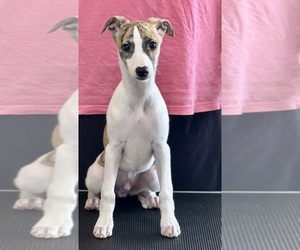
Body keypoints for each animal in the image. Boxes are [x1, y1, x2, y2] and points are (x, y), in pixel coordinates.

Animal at [84, 15, 180, 238]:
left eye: (152, 44)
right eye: (126, 46)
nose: (142, 71)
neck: (139, 97)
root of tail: (126, 189)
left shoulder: (162, 148)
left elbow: (168, 192)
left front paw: (169, 223)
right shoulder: (114, 148)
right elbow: (108, 195)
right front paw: (104, 224)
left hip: (153, 174)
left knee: (145, 191)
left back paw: (149, 197)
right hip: (95, 173)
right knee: (100, 190)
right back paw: (93, 200)